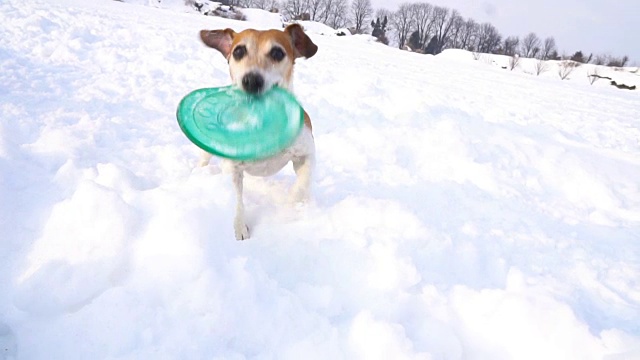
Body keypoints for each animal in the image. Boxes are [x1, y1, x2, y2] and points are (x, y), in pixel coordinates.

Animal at [200, 24, 318, 239]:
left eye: (277, 52)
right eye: (238, 51)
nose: (252, 80)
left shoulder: (306, 154)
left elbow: (301, 186)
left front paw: (293, 207)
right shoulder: (232, 167)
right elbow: (237, 200)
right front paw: (240, 228)